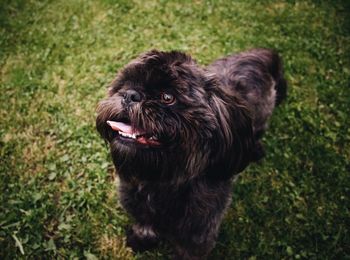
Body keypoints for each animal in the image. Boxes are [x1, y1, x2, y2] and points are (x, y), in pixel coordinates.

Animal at [96, 48, 288, 258]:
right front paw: (141, 238)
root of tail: (258, 54)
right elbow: (143, 223)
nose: (130, 95)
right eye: (125, 85)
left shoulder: (199, 231)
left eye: (167, 97)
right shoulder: (137, 205)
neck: (159, 180)